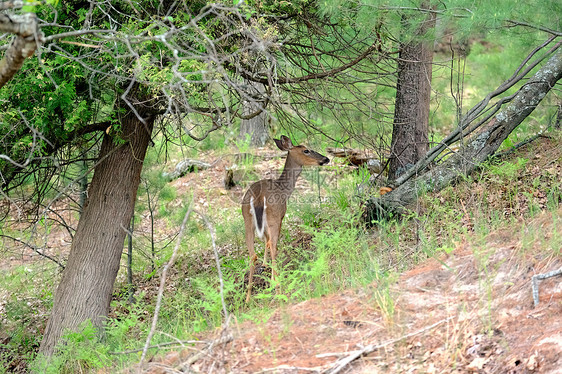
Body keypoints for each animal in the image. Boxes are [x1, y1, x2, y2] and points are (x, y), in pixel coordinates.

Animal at [241, 136, 328, 302]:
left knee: (253, 254)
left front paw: (265, 266)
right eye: (306, 150)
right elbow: (271, 243)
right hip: (273, 217)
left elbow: (265, 241)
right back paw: (277, 288)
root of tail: (258, 198)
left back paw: (248, 297)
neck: (284, 189)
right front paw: (272, 280)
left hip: (247, 220)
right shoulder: (281, 216)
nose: (326, 159)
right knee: (273, 247)